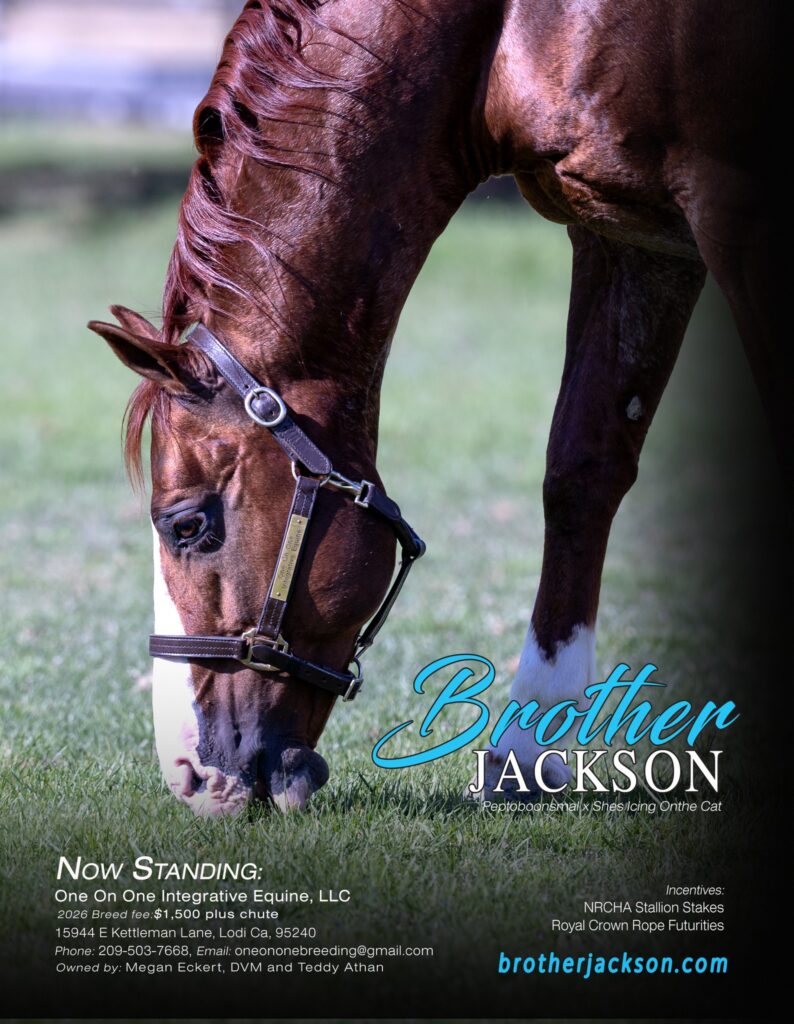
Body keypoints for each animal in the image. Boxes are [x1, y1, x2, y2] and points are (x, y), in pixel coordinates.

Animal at [88, 0, 782, 815]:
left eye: (187, 526)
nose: (190, 775)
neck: (502, 32)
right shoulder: (629, 235)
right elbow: (582, 473)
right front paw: (525, 754)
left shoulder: (741, 217)